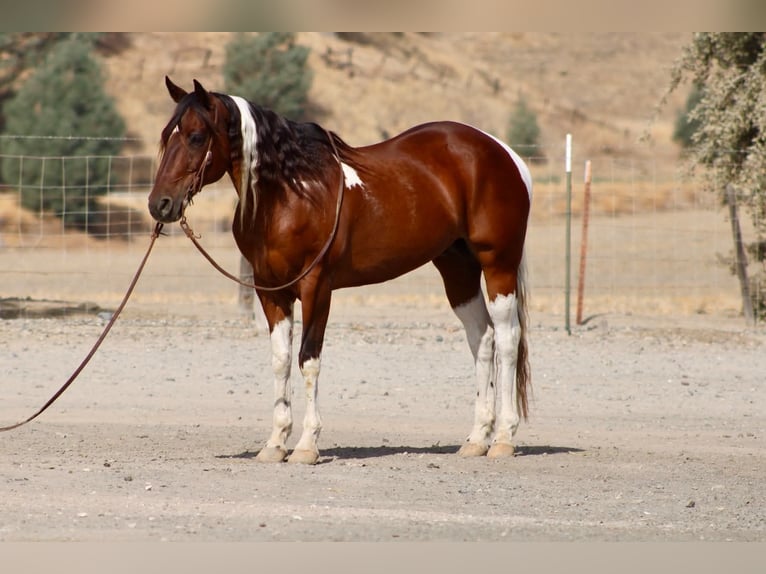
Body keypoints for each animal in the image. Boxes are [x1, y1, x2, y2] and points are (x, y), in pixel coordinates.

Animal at [148, 77, 532, 465]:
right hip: (457, 269)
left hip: (498, 264)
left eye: (197, 136)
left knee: (507, 337)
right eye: (167, 135)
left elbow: (308, 359)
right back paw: (477, 438)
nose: (159, 204)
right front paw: (275, 443)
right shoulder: (271, 291)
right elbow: (281, 360)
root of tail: (503, 153)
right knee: (482, 338)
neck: (292, 194)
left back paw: (503, 438)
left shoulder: (316, 287)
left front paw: (306, 445)